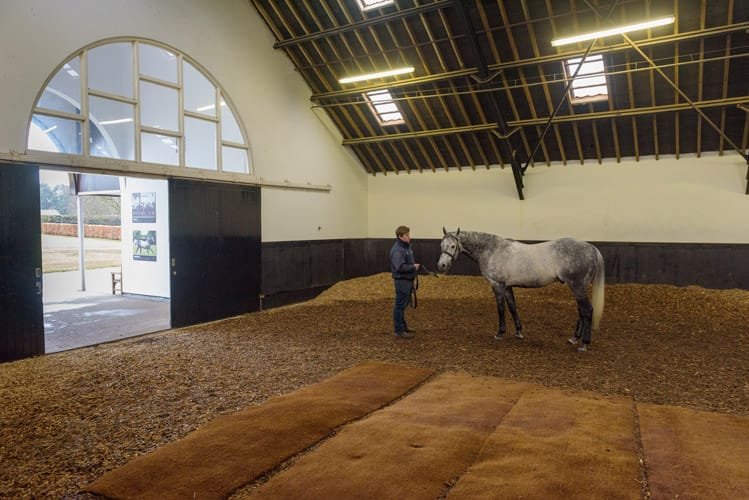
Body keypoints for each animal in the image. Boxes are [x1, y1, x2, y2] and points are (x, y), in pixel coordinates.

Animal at [437, 228, 605, 352]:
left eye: (453, 246)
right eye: (441, 246)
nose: (441, 266)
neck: (491, 250)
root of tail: (591, 248)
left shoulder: (497, 285)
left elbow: (501, 309)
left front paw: (500, 333)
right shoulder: (507, 286)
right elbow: (512, 307)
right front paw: (518, 332)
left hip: (577, 286)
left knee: (587, 310)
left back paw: (584, 344)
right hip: (578, 287)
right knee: (581, 311)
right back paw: (574, 338)